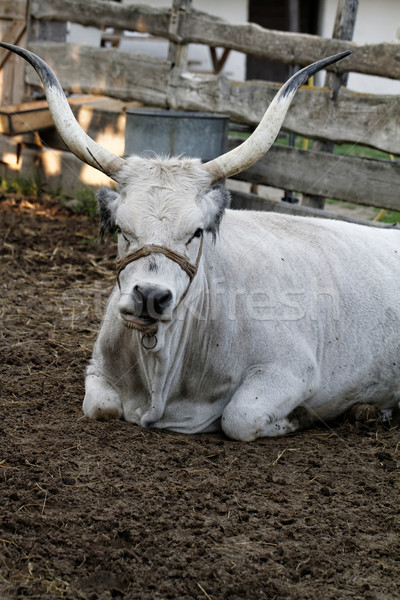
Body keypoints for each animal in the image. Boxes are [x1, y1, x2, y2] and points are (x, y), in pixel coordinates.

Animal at [1, 39, 398, 438]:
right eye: (122, 229)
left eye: (195, 232)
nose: (150, 296)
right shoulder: (97, 370)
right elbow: (100, 407)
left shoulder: (293, 370)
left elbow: (238, 418)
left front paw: (298, 417)